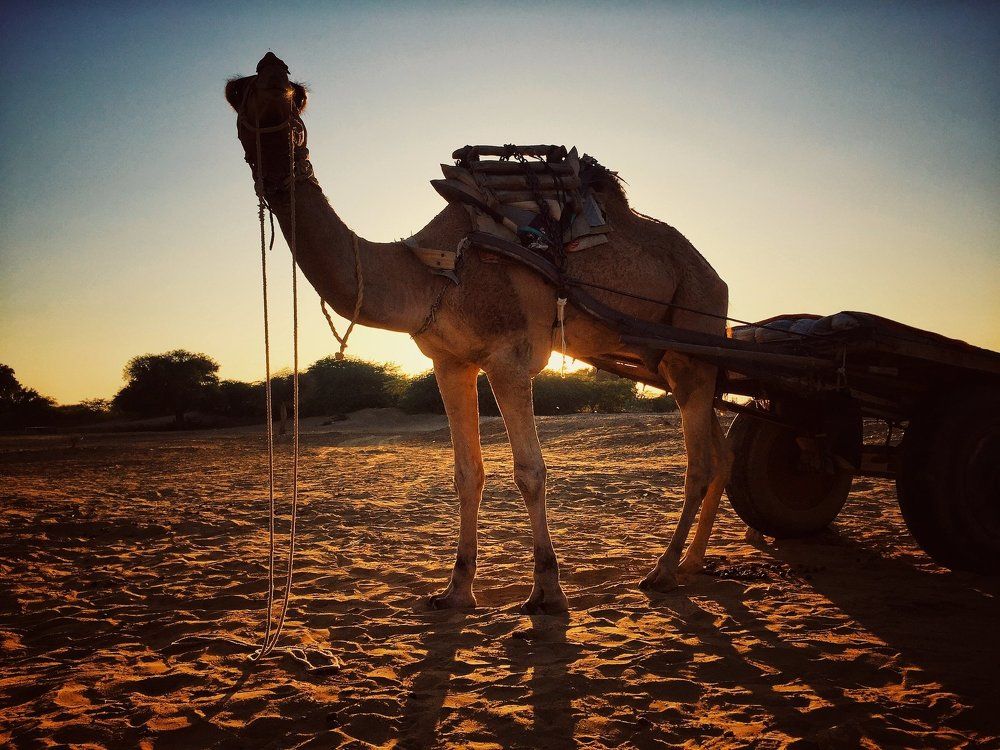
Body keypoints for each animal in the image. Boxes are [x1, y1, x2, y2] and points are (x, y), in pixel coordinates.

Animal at [226, 53, 733, 614]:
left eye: (295, 97)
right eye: (239, 95)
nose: (276, 144)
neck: (435, 270)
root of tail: (716, 276)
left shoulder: (509, 357)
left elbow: (530, 472)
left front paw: (547, 591)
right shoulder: (449, 362)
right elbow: (467, 473)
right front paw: (456, 589)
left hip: (695, 331)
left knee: (700, 462)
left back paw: (663, 570)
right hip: (667, 357)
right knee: (721, 452)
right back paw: (690, 564)